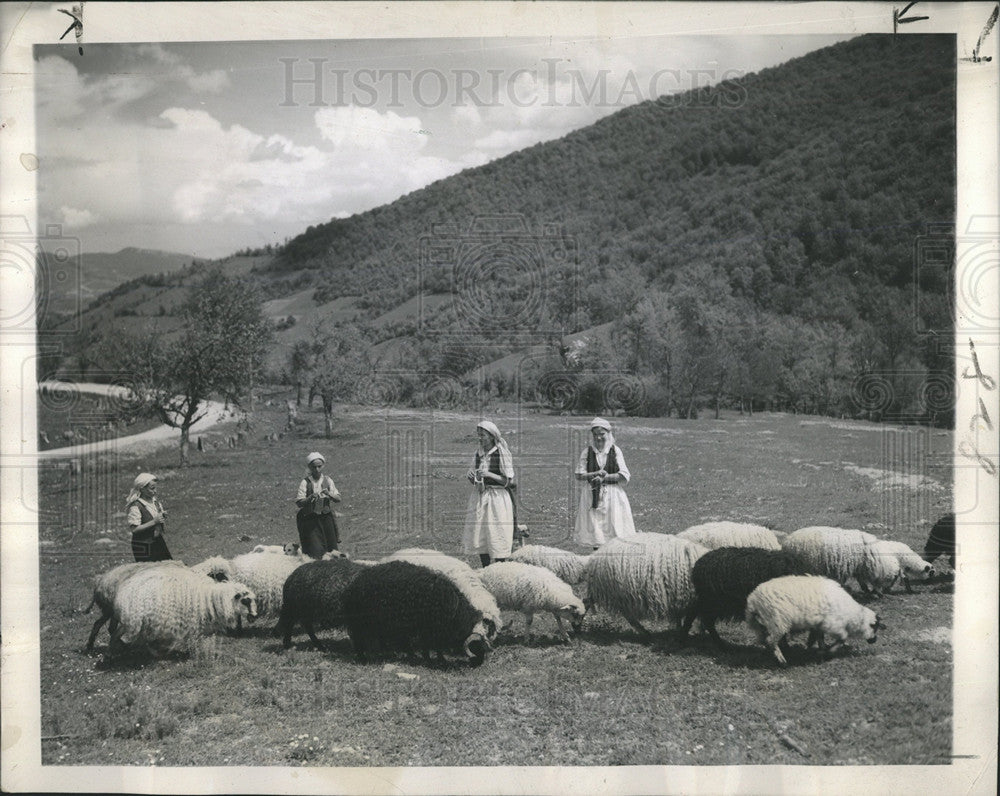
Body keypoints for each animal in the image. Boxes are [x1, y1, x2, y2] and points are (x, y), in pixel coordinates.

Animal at [110, 564, 258, 656]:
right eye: (245, 601)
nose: (255, 616)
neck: (209, 598)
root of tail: (124, 592)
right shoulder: (191, 622)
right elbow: (192, 639)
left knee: (118, 633)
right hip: (142, 621)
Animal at [342, 560, 494, 664]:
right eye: (475, 646)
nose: (478, 664)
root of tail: (354, 583)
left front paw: (435, 658)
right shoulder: (428, 628)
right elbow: (430, 644)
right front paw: (433, 659)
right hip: (360, 623)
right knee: (358, 639)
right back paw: (363, 658)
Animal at [748, 572, 880, 664]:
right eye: (874, 627)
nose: (874, 640)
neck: (851, 614)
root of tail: (753, 601)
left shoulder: (819, 624)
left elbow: (818, 637)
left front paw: (819, 649)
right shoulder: (833, 624)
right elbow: (842, 638)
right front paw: (829, 651)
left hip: (763, 624)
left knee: (764, 640)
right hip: (776, 622)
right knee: (770, 641)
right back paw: (781, 660)